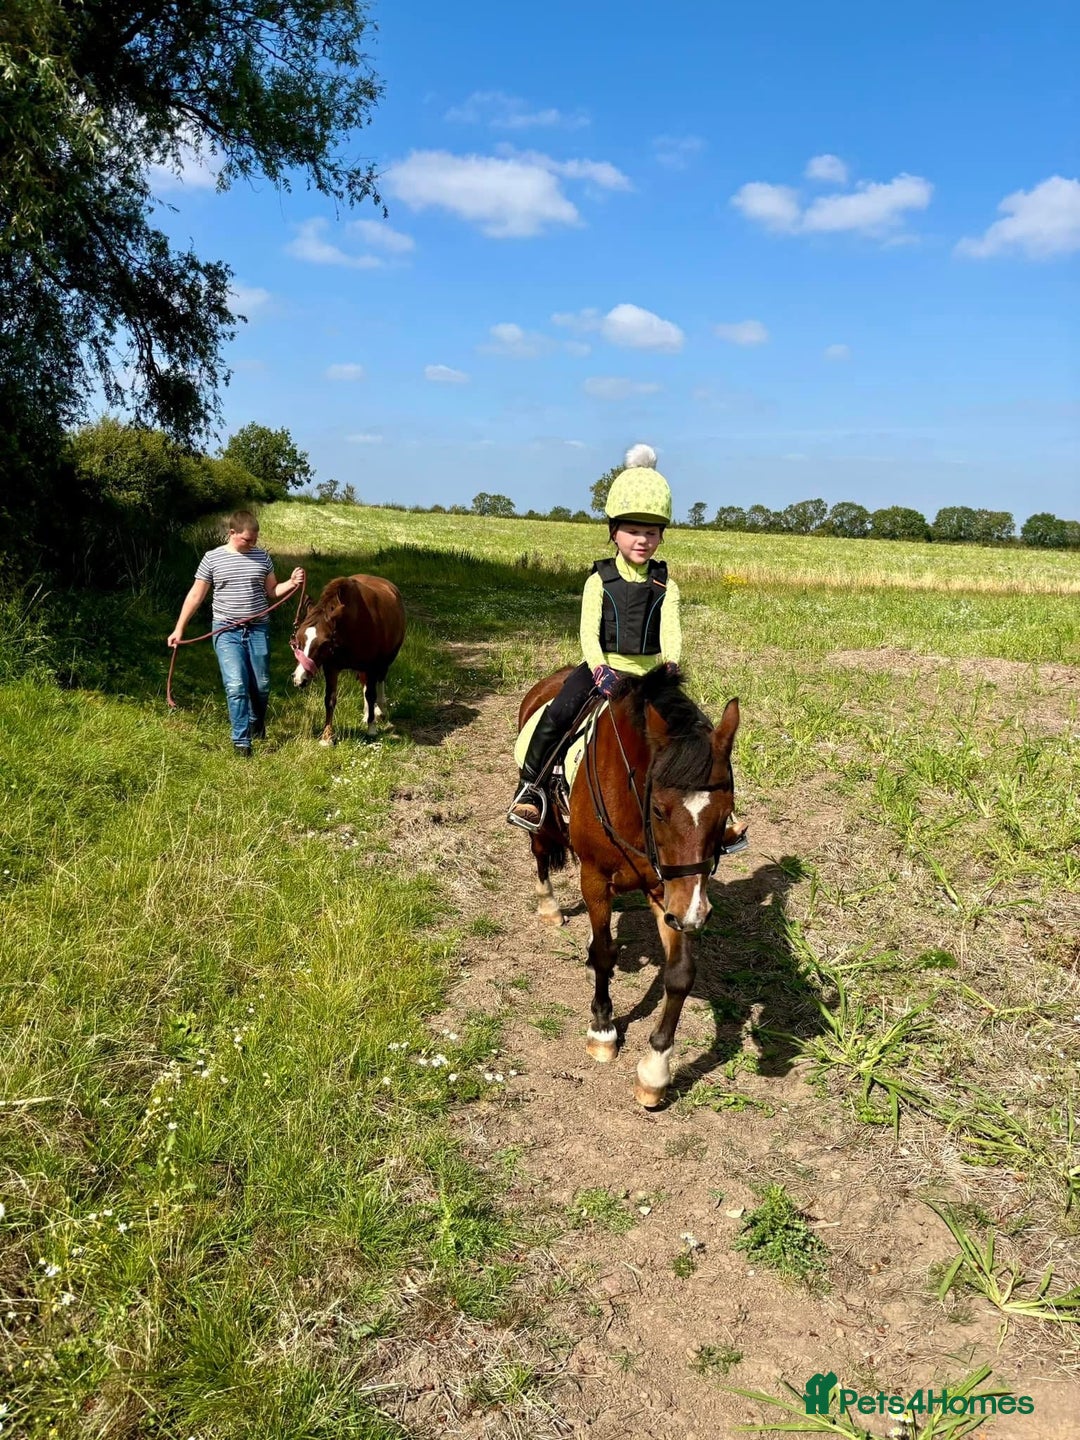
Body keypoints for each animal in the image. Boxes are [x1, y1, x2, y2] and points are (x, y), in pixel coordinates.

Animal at [291, 575, 406, 743]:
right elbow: (330, 699)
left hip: (385, 661)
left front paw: (372, 728)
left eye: (324, 643)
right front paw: (327, 737)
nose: (300, 679)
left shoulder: (372, 666)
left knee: (380, 681)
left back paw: (380, 711)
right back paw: (367, 714)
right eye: (298, 639)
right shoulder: (331, 667)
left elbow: (371, 695)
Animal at [516, 664, 740, 1108]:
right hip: (543, 825)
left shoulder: (670, 888)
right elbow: (605, 952)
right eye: (659, 809)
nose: (695, 914)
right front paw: (602, 1029)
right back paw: (549, 906)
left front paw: (655, 1071)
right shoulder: (594, 876)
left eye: (725, 812)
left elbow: (680, 974)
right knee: (539, 853)